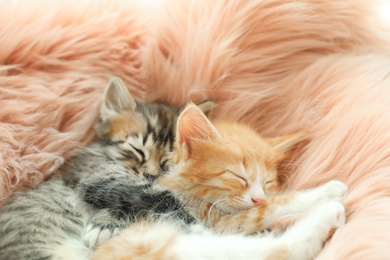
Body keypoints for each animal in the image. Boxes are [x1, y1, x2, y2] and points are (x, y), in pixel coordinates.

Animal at [0, 75, 213, 260]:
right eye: (138, 150)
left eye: (167, 161)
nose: (150, 175)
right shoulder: (99, 175)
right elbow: (156, 195)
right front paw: (199, 227)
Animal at [91, 103, 348, 260]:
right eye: (238, 176)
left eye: (268, 183)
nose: (257, 198)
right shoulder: (213, 221)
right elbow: (262, 211)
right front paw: (326, 191)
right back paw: (328, 212)